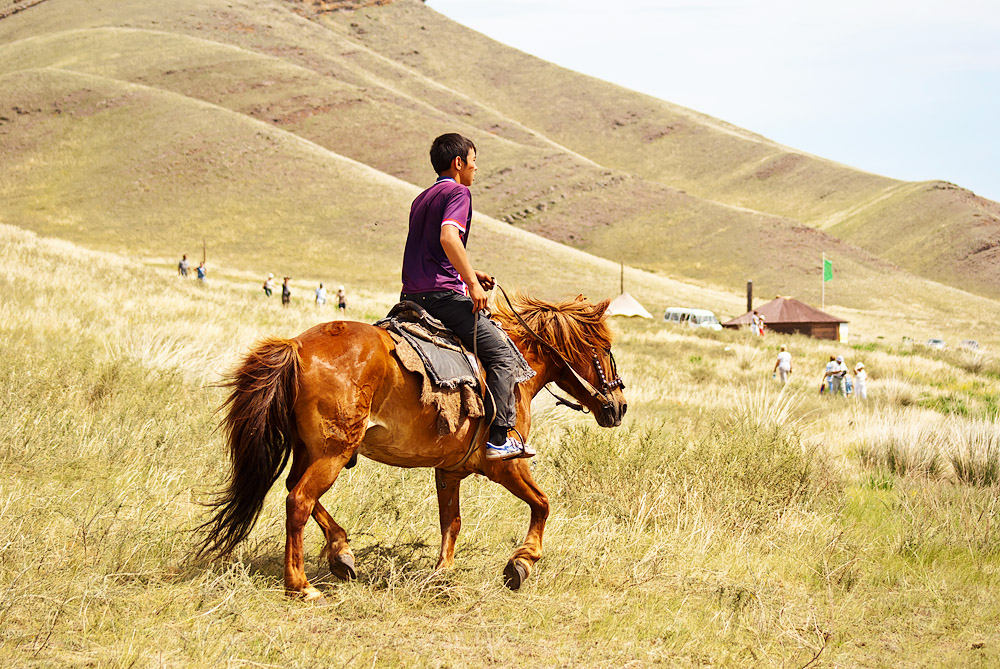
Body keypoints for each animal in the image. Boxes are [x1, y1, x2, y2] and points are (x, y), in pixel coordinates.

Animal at [197, 290, 624, 596]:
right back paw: (300, 585)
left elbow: (451, 522)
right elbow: (543, 503)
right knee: (298, 500)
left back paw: (341, 553)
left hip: (313, 450)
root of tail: (297, 346)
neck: (519, 368)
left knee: (295, 490)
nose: (618, 406)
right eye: (605, 351)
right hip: (334, 453)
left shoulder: (449, 470)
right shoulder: (506, 464)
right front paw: (521, 563)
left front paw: (441, 574)